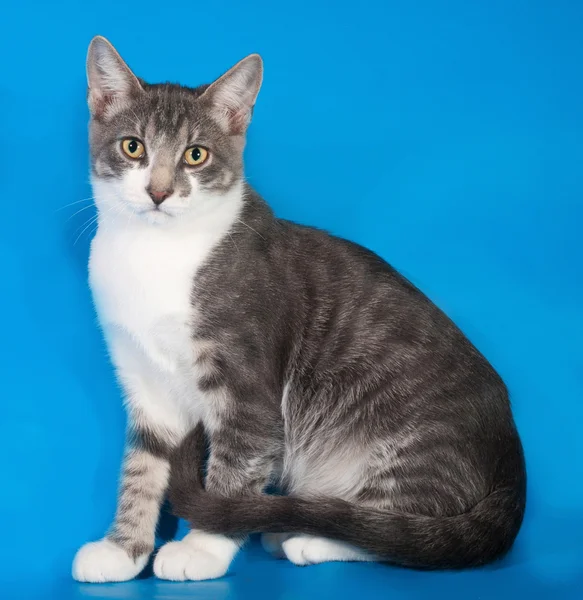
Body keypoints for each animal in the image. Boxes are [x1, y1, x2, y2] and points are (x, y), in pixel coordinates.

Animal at [70, 36, 528, 580]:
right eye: (133, 147)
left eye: (196, 155)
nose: (158, 191)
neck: (154, 254)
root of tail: (511, 459)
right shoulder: (143, 381)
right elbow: (143, 465)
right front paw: (124, 549)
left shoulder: (247, 384)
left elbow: (237, 462)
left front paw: (204, 546)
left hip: (414, 440)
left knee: (405, 531)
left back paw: (311, 535)